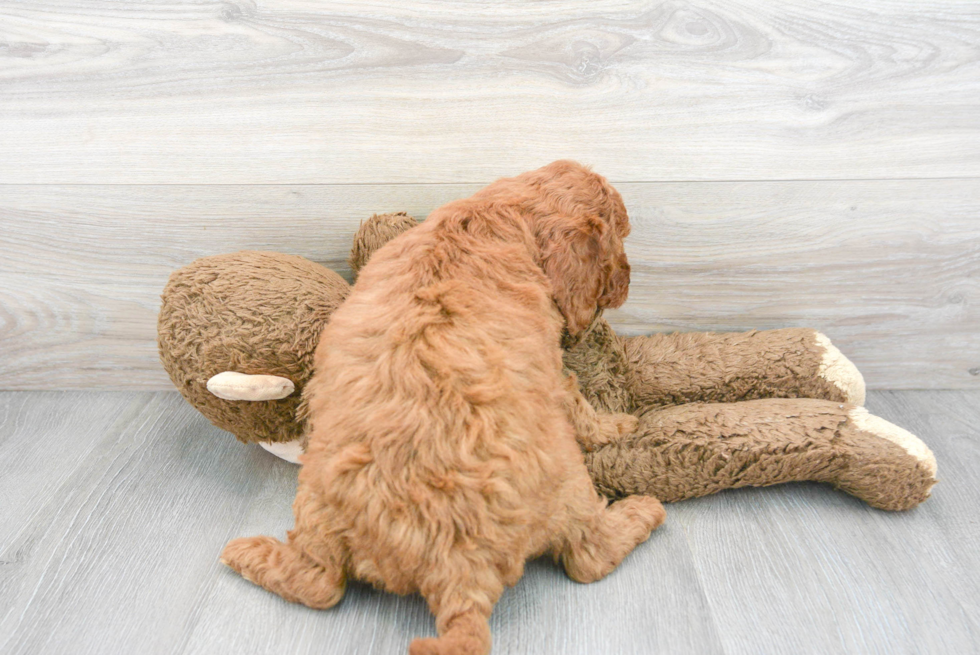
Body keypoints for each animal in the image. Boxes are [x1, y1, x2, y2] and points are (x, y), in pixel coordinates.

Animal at [222, 163, 668, 655]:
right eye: (621, 234)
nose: (627, 281)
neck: (494, 215)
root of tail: (455, 566)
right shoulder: (552, 365)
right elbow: (578, 404)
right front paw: (618, 426)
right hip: (569, 485)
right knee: (590, 556)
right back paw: (641, 511)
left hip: (317, 509)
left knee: (316, 584)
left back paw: (246, 554)